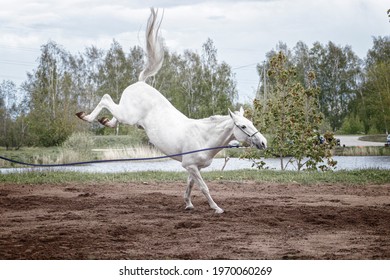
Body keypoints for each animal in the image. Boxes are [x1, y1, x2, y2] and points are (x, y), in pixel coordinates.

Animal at [76, 8, 266, 214]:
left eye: (252, 123)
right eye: (243, 126)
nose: (263, 142)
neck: (204, 137)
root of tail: (141, 83)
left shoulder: (194, 167)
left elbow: (190, 186)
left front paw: (188, 204)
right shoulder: (190, 166)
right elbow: (204, 187)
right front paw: (216, 208)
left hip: (129, 117)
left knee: (112, 115)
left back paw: (104, 121)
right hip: (128, 114)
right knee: (105, 99)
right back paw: (86, 116)